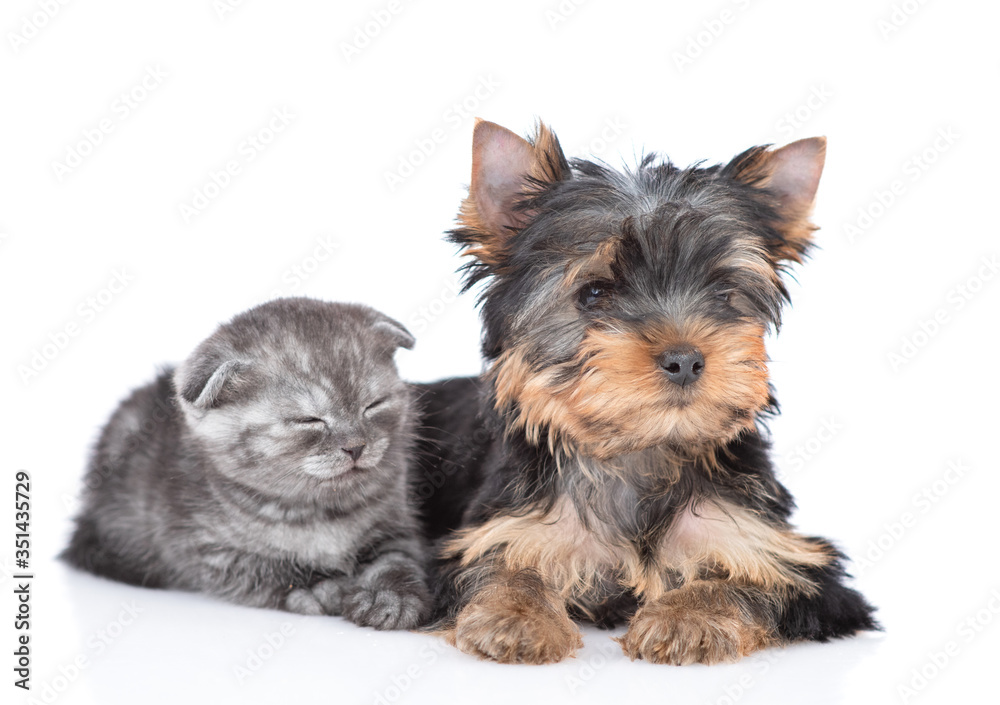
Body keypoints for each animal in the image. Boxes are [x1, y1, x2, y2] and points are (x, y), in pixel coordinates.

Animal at [61, 296, 430, 628]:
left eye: (374, 405)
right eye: (308, 420)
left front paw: (390, 597)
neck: (319, 510)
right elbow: (271, 568)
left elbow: (395, 559)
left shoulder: (395, 525)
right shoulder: (205, 550)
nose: (355, 447)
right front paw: (323, 587)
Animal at [412, 118, 876, 664]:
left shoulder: (785, 555)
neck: (642, 451)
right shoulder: (498, 528)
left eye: (724, 294)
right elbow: (499, 564)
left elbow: (752, 580)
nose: (685, 359)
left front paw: (689, 616)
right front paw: (516, 614)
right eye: (594, 293)